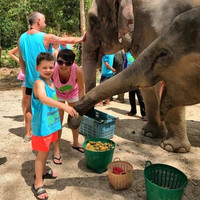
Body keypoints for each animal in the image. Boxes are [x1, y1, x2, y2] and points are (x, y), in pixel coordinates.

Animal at [68, 0, 200, 153]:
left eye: (93, 20)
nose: (74, 120)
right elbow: (147, 88)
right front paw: (149, 134)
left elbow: (163, 86)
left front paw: (173, 148)